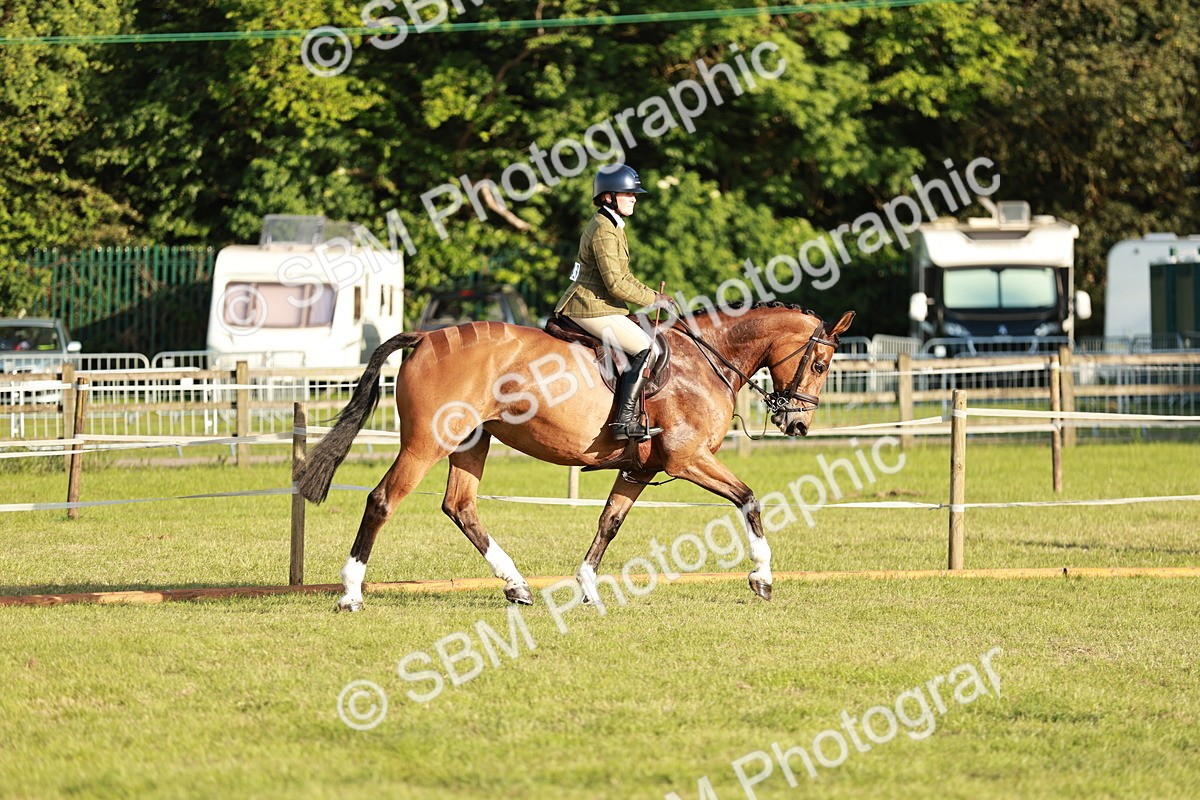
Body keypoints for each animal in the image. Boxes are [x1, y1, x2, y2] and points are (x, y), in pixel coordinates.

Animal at [296, 303, 855, 611]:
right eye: (821, 363)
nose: (798, 424)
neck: (706, 360)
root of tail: (427, 336)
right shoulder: (687, 459)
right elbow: (749, 500)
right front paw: (762, 577)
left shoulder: (640, 468)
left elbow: (609, 522)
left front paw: (588, 587)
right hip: (426, 444)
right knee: (382, 501)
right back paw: (350, 593)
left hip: (473, 441)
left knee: (460, 507)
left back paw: (518, 587)